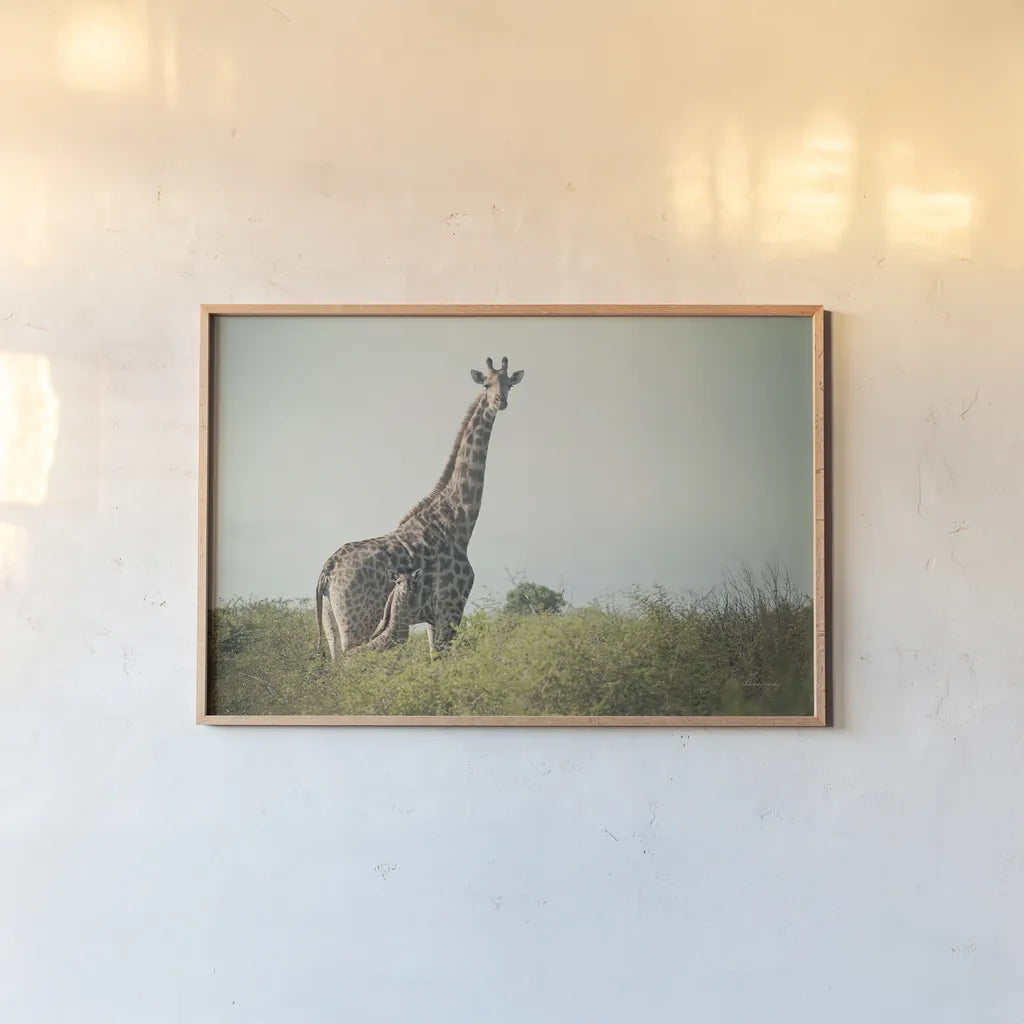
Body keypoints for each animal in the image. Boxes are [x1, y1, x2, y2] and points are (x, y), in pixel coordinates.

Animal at [315, 355, 525, 660]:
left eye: (509, 383)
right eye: (486, 383)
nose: (501, 401)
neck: (458, 522)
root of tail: (327, 572)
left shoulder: (433, 618)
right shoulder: (451, 608)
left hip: (332, 625)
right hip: (357, 623)